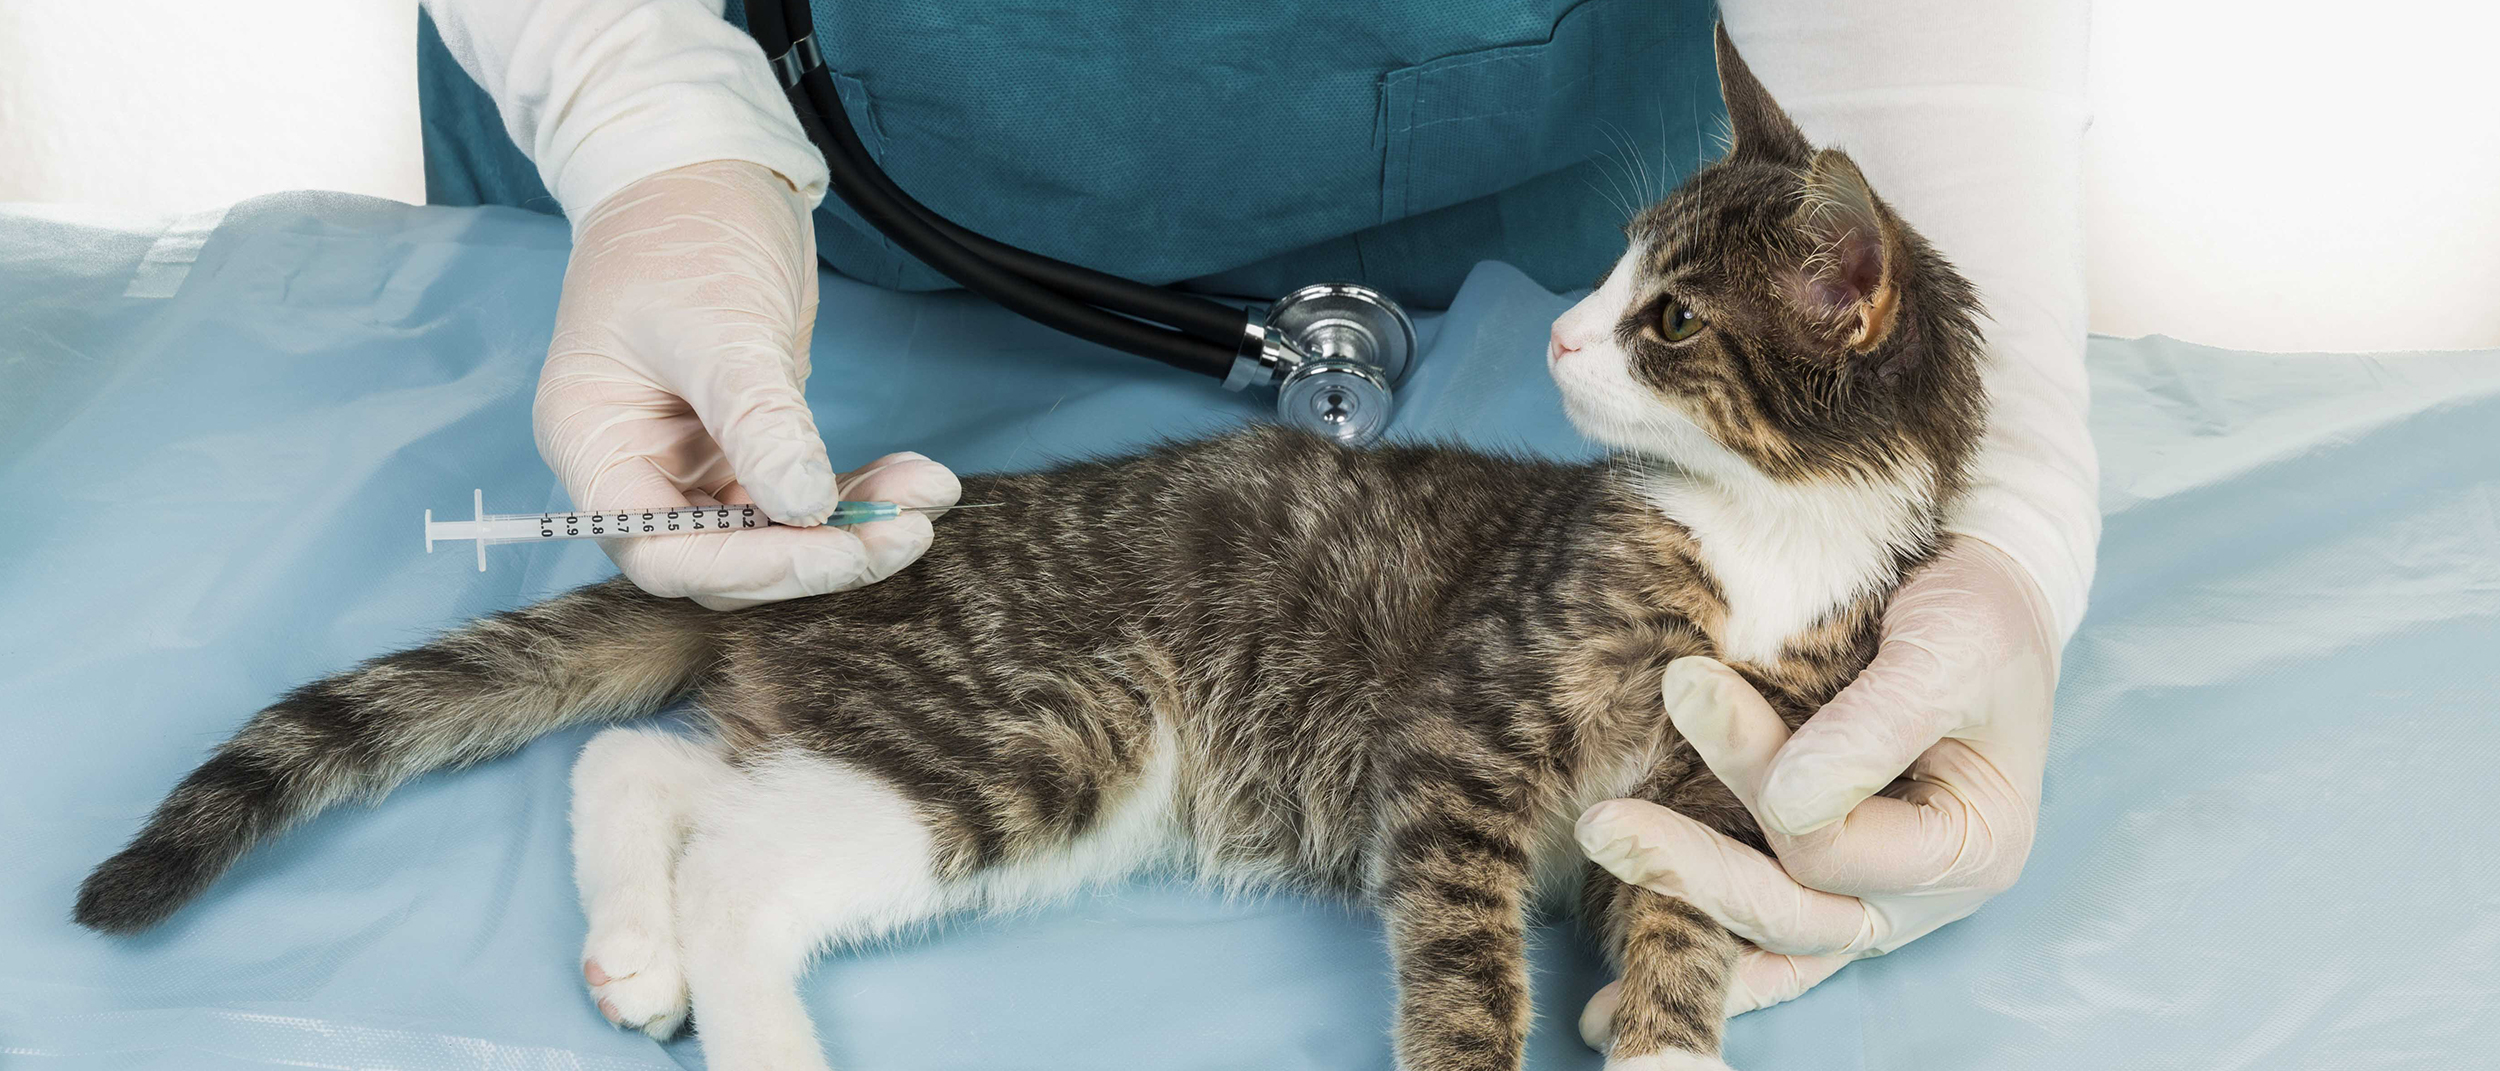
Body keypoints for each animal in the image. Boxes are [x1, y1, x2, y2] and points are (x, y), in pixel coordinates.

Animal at [78, 27, 1980, 1071]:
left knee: (655, 769)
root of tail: (885, 542)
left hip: (959, 743)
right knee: (740, 854)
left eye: (1666, 318)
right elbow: (1460, 946)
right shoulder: (1465, 737)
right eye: (1606, 275)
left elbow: (1688, 912)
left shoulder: (1747, 773)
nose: (1569, 335)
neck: (1766, 533)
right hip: (1056, 725)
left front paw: (1666, 1036)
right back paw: (755, 1027)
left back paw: (637, 946)